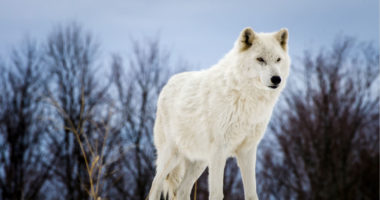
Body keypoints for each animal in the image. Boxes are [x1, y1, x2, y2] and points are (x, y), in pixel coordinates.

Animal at [148, 27, 288, 200]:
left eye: (278, 59)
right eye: (260, 59)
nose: (276, 79)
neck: (246, 98)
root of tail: (167, 83)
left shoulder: (247, 151)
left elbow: (251, 194)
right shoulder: (219, 152)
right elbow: (216, 193)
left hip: (199, 162)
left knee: (181, 190)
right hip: (171, 155)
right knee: (155, 186)